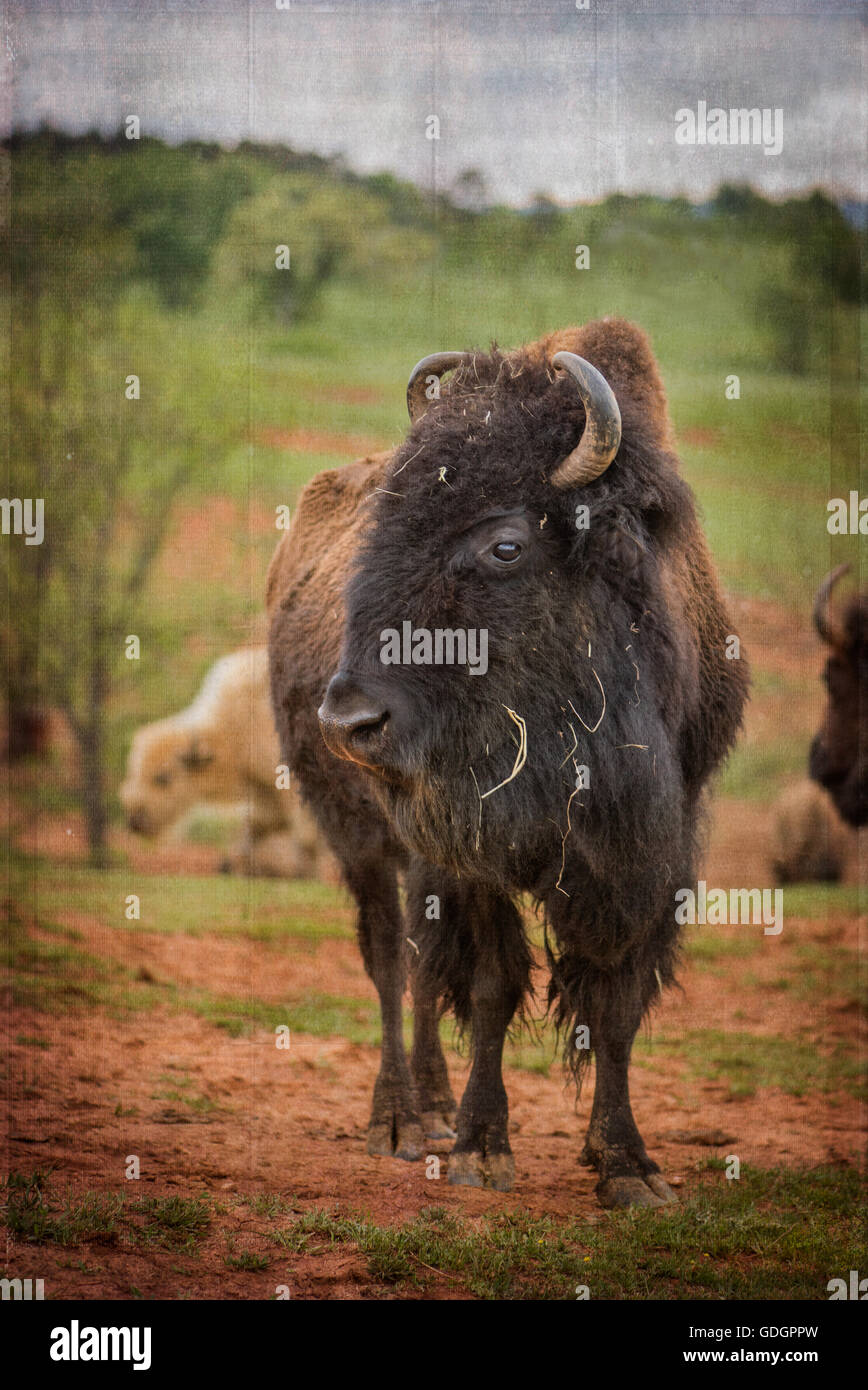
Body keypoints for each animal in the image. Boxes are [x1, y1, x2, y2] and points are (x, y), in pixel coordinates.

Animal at [118, 644, 328, 872]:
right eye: (133, 771)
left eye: (162, 777)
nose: (134, 821)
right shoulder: (267, 800)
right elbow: (255, 829)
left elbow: (308, 839)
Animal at [268, 319, 751, 1212]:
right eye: (381, 530)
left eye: (504, 545)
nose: (349, 718)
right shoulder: (468, 855)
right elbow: (491, 984)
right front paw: (481, 1150)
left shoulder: (654, 853)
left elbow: (616, 1000)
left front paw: (627, 1166)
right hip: (359, 837)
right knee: (389, 959)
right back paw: (399, 1122)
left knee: (421, 968)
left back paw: (429, 1107)